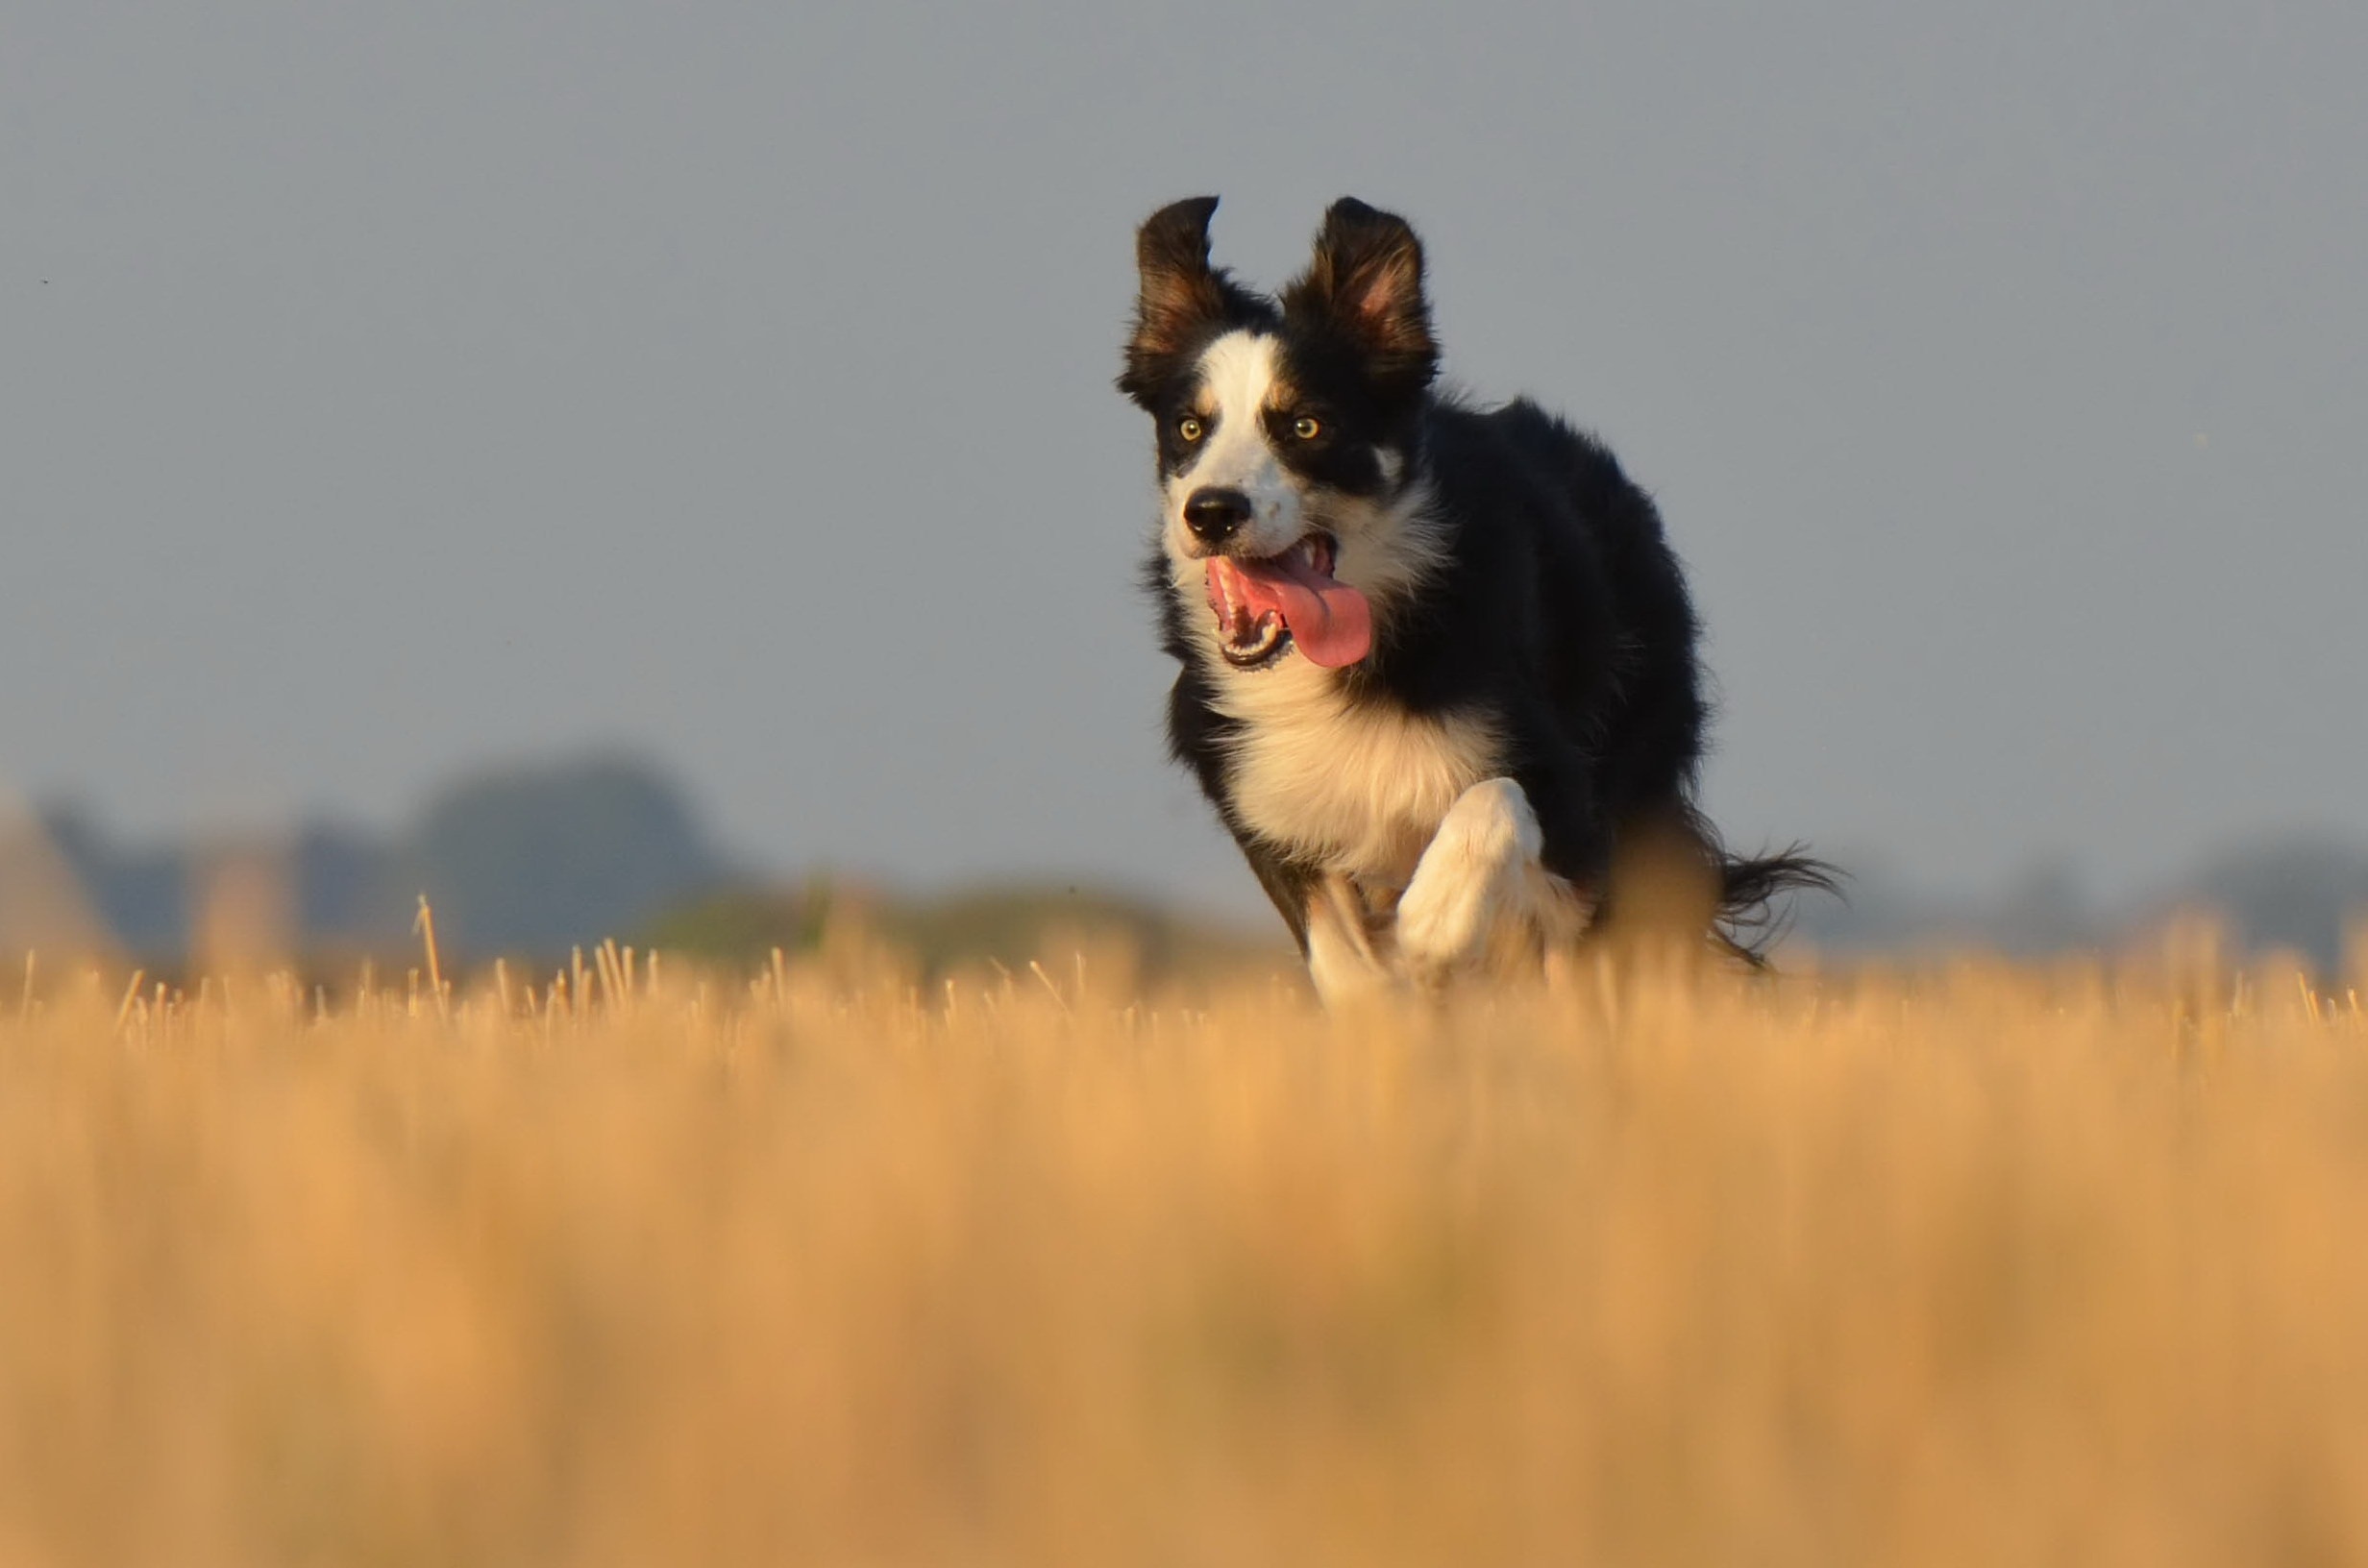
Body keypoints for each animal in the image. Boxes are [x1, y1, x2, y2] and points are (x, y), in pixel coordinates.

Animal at [1118, 200, 1818, 1009]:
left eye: (1306, 425)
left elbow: (1493, 801)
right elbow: (1343, 963)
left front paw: (1433, 922)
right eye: (1189, 428)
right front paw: (1386, 1001)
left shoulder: (1570, 804)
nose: (1210, 513)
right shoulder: (1265, 799)